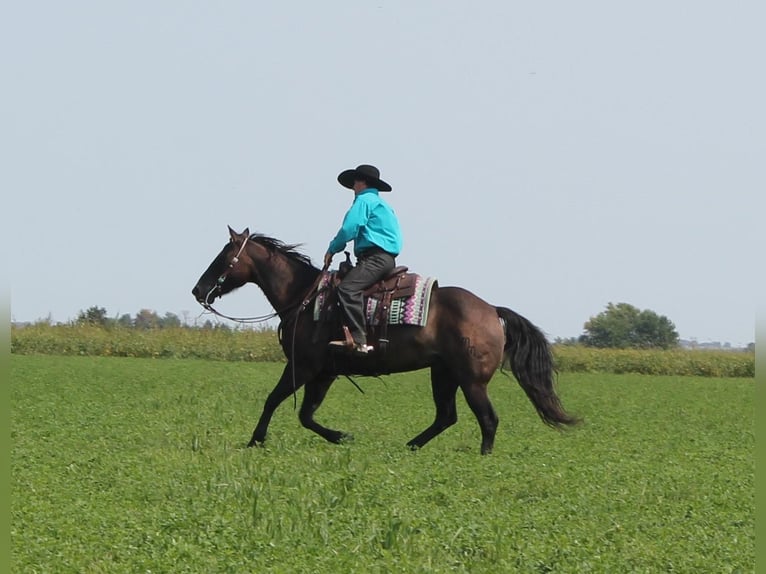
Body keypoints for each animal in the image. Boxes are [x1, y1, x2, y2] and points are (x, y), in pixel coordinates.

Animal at [190, 227, 576, 456]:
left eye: (224, 257)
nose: (197, 290)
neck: (304, 296)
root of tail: (492, 310)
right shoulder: (324, 373)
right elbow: (306, 414)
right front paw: (342, 436)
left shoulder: (304, 366)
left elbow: (274, 401)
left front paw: (255, 440)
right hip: (444, 374)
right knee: (446, 416)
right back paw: (410, 447)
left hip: (471, 380)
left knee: (488, 419)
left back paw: (482, 457)